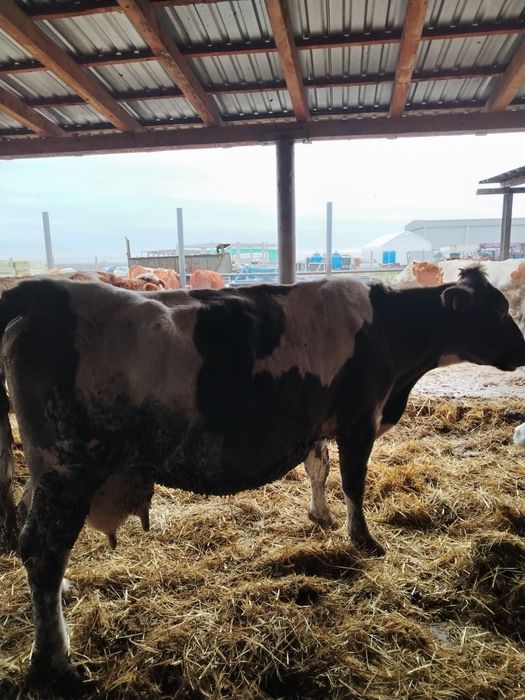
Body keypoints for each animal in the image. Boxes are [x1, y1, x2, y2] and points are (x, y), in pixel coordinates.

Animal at [1, 267, 525, 692]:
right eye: (500, 311)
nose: (523, 351)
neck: (388, 332)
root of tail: (42, 291)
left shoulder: (317, 423)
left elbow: (319, 468)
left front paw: (321, 515)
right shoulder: (359, 419)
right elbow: (354, 482)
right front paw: (364, 539)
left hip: (47, 471)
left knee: (30, 525)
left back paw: (66, 595)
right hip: (68, 465)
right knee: (43, 547)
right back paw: (55, 660)